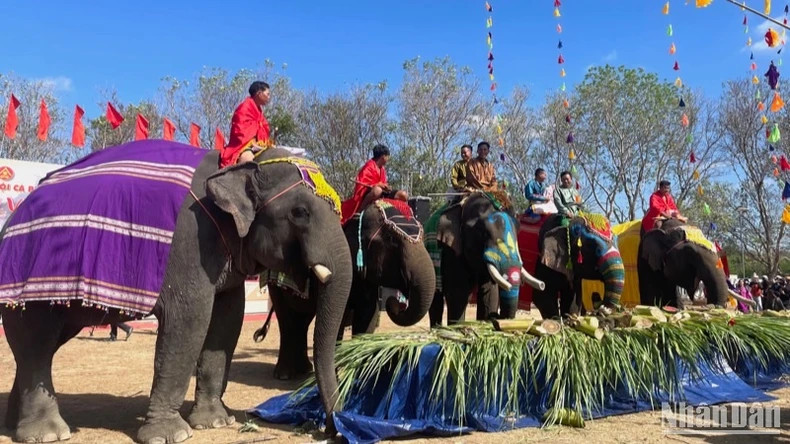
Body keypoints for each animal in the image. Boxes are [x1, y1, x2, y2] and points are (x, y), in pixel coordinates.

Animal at [0, 140, 352, 443]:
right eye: (300, 213)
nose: (329, 429)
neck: (237, 165)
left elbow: (227, 321)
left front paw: (216, 422)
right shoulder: (190, 241)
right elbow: (189, 319)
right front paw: (171, 436)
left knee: (44, 345)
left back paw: (13, 424)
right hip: (26, 277)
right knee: (37, 341)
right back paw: (47, 434)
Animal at [259, 198, 435, 380]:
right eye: (390, 238)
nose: (395, 303)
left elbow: (368, 316)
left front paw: (362, 376)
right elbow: (339, 319)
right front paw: (338, 378)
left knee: (302, 318)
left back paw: (305, 370)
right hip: (274, 284)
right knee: (286, 318)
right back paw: (284, 375)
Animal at [427, 192, 545, 326]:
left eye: (518, 230)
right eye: (482, 233)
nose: (543, 285)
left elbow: (490, 291)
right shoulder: (451, 248)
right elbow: (458, 291)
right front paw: (457, 327)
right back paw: (437, 328)